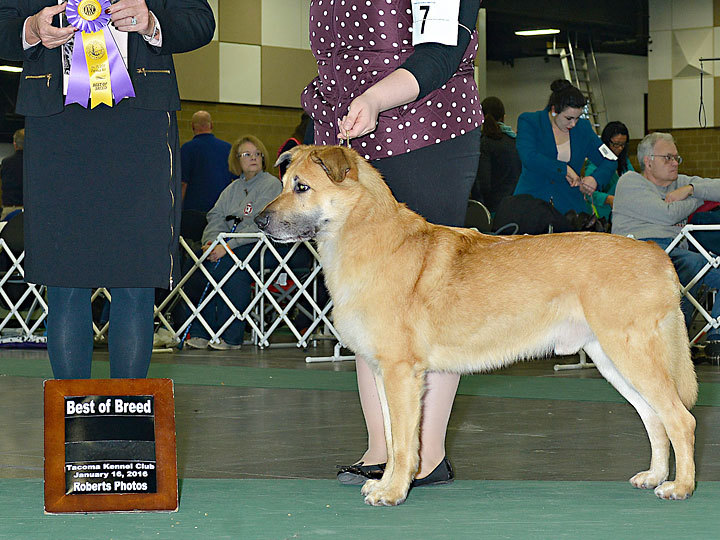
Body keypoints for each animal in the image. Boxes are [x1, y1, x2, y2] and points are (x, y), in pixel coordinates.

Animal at [255, 144, 696, 506]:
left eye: (302, 187)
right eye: (284, 183)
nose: (258, 220)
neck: (370, 238)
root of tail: (657, 254)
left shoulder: (402, 373)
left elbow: (404, 444)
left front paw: (395, 492)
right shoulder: (383, 372)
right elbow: (393, 437)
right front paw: (385, 483)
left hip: (632, 354)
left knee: (680, 418)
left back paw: (680, 487)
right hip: (612, 360)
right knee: (654, 418)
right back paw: (654, 476)